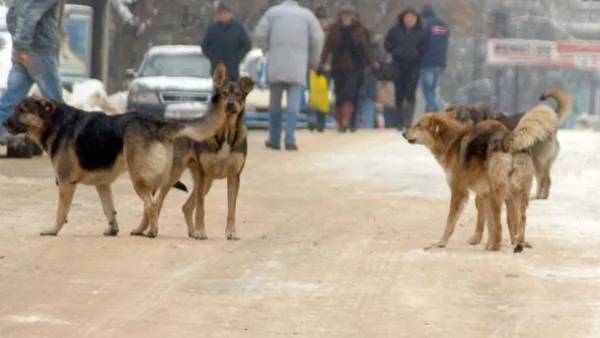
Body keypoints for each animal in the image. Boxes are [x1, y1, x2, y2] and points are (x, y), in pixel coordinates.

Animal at [3, 64, 234, 238]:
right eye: (15, 108)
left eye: (22, 110)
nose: (4, 122)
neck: (54, 121)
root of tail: (158, 123)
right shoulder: (103, 185)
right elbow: (109, 210)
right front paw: (112, 229)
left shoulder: (66, 184)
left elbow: (61, 212)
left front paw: (53, 230)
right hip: (151, 179)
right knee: (152, 205)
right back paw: (142, 230)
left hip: (139, 179)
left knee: (152, 205)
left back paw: (152, 232)